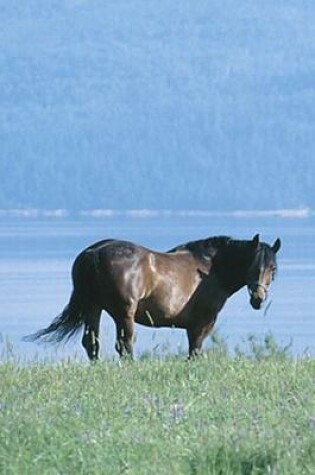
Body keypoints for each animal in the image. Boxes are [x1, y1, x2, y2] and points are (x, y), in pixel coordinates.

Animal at [24, 232, 282, 358]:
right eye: (253, 266)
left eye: (273, 268)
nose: (258, 299)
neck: (210, 268)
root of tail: (95, 253)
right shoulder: (202, 324)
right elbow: (195, 353)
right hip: (123, 314)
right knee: (124, 346)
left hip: (93, 308)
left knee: (92, 343)